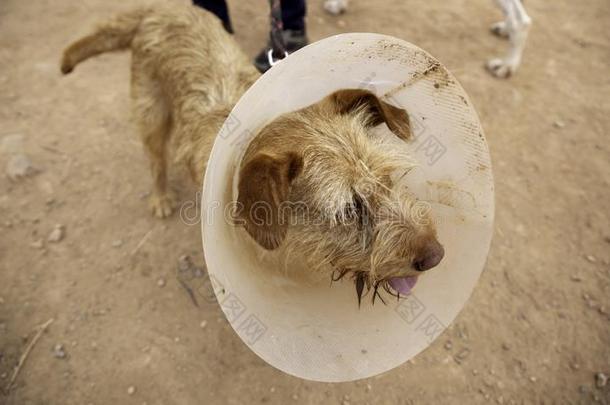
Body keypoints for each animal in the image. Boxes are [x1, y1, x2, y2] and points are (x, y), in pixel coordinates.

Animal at [60, 3, 442, 304]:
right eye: (349, 209)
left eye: (388, 178)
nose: (436, 256)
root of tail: (160, 9)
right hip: (151, 113)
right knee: (155, 158)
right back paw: (160, 196)